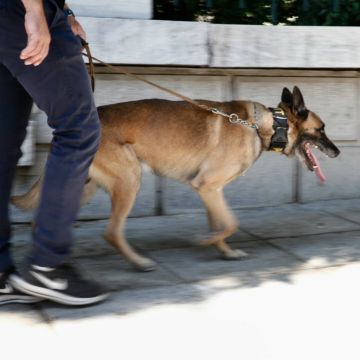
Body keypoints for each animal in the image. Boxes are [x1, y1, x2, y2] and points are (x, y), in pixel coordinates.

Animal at [12, 86, 340, 270]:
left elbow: (220, 224)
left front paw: (223, 251)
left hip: (85, 187)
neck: (268, 124)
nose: (337, 152)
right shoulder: (209, 187)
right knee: (112, 232)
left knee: (45, 220)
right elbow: (231, 223)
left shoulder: (209, 191)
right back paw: (138, 262)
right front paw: (207, 241)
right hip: (129, 181)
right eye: (322, 129)